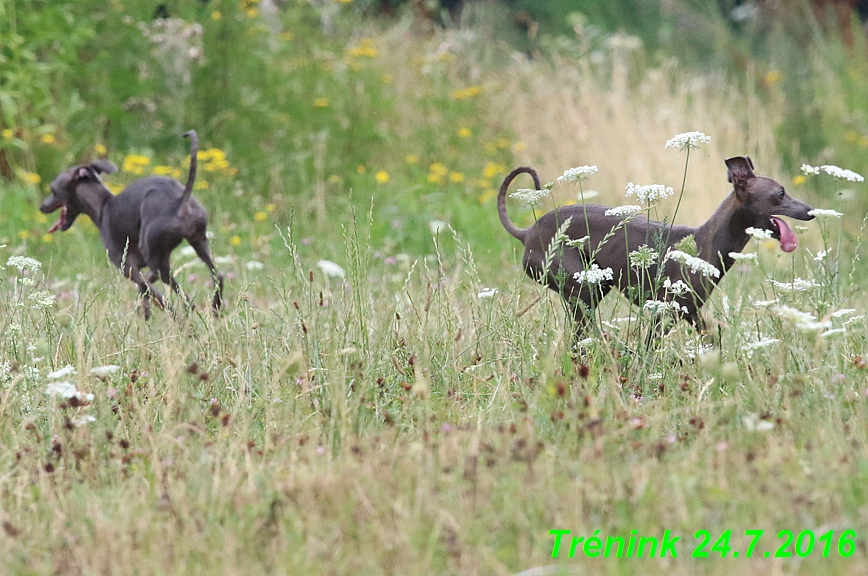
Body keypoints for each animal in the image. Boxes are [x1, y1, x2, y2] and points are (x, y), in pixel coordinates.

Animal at [40, 131, 224, 320]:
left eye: (53, 190)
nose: (42, 206)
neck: (103, 206)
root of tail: (181, 201)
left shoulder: (129, 268)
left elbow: (154, 294)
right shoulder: (148, 270)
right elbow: (145, 292)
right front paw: (144, 314)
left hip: (158, 262)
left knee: (185, 300)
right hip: (198, 243)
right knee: (219, 276)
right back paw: (215, 308)